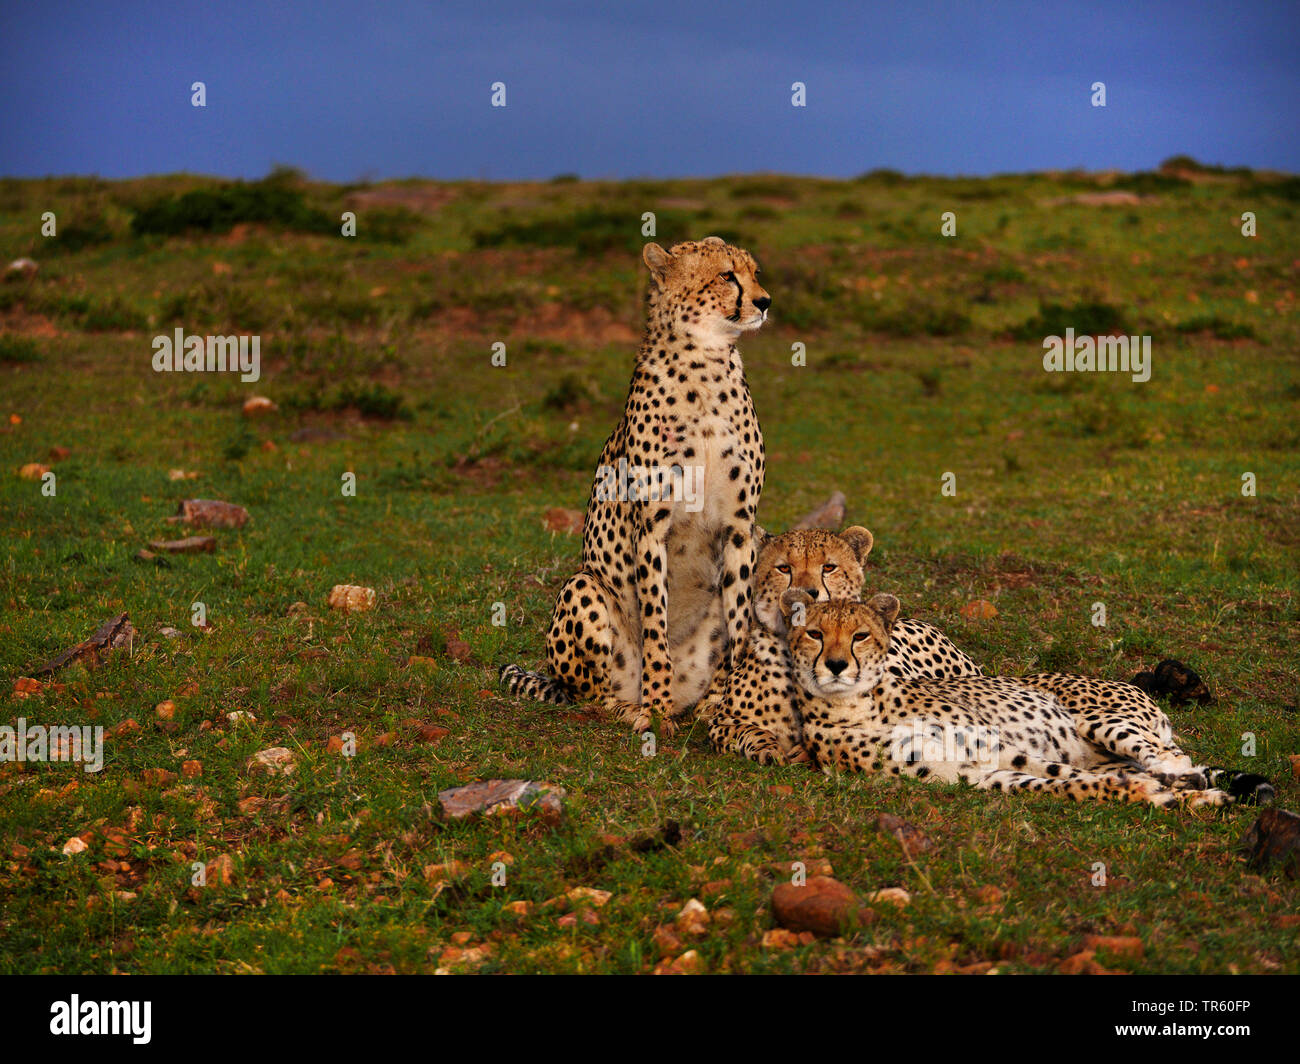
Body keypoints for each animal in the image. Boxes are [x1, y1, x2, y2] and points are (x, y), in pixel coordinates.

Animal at [499, 234, 769, 728]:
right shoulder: (651, 526)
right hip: (583, 586)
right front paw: (655, 708)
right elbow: (655, 626)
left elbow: (739, 629)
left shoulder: (742, 526)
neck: (706, 363)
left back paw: (700, 705)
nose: (764, 301)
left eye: (754, 272)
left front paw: (728, 703)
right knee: (589, 693)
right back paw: (635, 706)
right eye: (727, 275)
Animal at [702, 525, 982, 764]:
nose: (806, 593)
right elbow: (751, 732)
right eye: (783, 568)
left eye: (828, 567)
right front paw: (769, 749)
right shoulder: (721, 721)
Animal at [785, 587, 1274, 806]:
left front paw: (1150, 790)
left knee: (1174, 759)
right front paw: (1137, 793)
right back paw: (1192, 794)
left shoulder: (1000, 748)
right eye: (815, 634)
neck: (857, 704)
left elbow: (1062, 774)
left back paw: (1186, 781)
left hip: (1102, 721)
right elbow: (1068, 783)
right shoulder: (975, 773)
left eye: (860, 635)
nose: (835, 665)